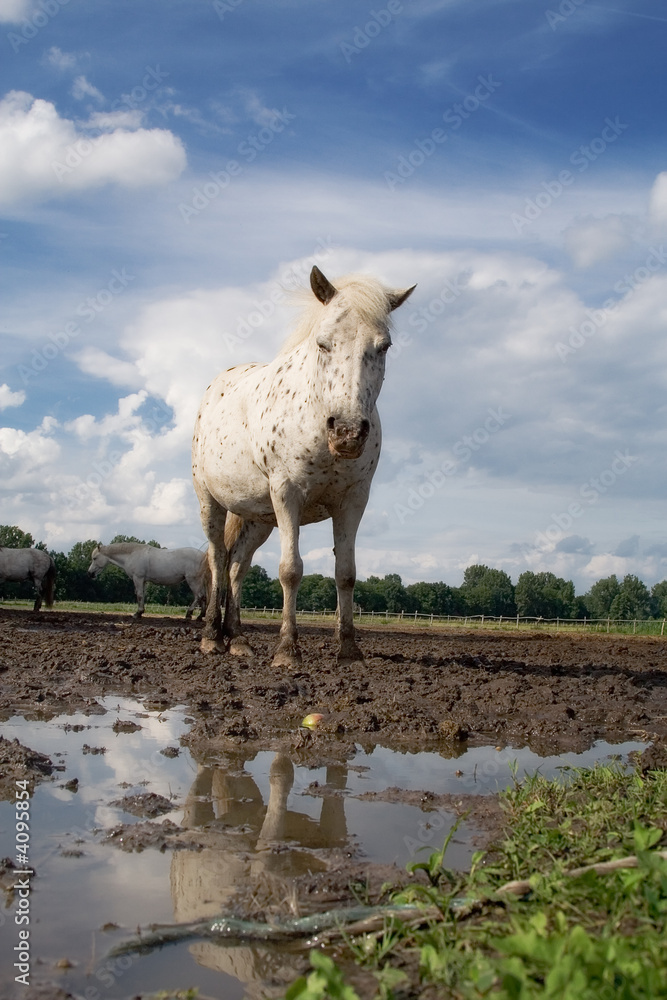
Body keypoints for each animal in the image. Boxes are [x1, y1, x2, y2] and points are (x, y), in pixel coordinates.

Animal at [192, 265, 416, 666]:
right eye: (323, 343)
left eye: (384, 346)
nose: (347, 432)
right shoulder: (287, 496)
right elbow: (290, 570)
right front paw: (287, 650)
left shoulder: (353, 501)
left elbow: (346, 573)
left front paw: (349, 650)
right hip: (210, 503)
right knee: (218, 560)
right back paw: (212, 638)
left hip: (258, 518)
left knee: (237, 566)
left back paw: (238, 639)